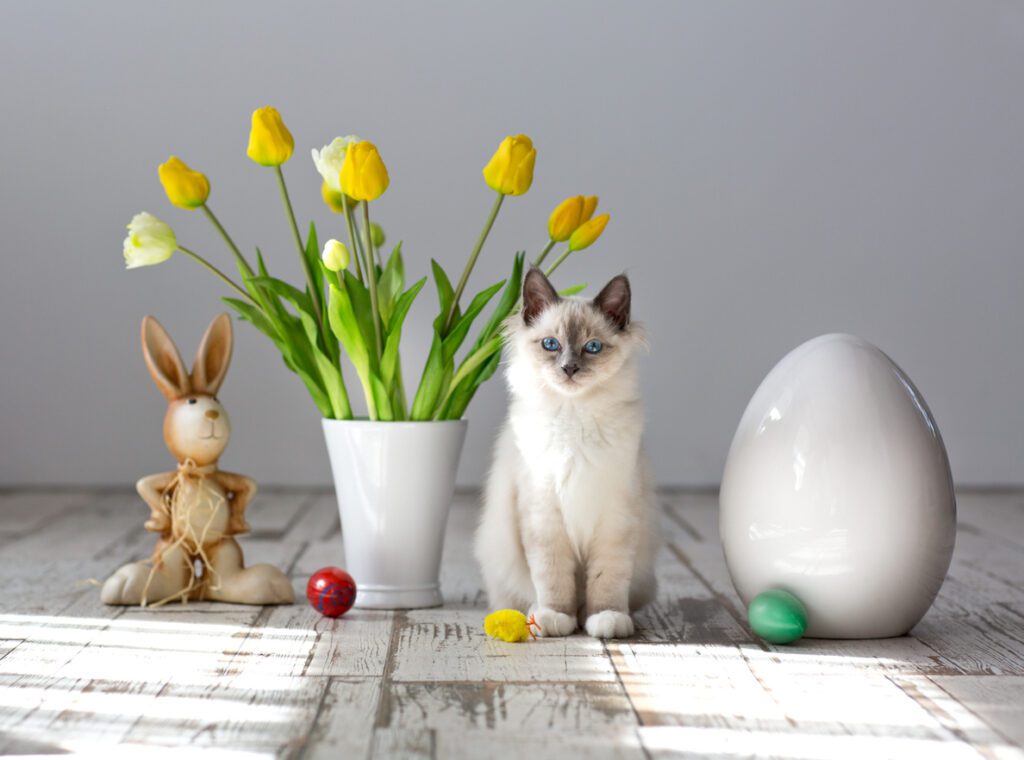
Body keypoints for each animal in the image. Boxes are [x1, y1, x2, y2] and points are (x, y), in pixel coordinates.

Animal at [475, 268, 659, 635]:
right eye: (551, 344)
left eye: (592, 347)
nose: (569, 369)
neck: (573, 417)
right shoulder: (543, 514)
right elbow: (552, 577)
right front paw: (556, 618)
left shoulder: (615, 517)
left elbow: (607, 580)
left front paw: (605, 619)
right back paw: (537, 614)